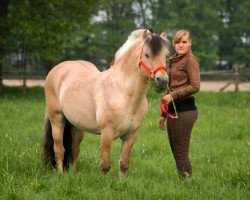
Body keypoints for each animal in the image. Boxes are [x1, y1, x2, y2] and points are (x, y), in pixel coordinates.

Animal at [42, 28, 170, 177]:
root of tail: (58, 69)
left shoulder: (132, 135)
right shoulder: (107, 133)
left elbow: (124, 164)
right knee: (59, 149)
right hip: (57, 119)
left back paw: (72, 174)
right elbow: (105, 165)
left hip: (78, 125)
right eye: (147, 54)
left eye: (166, 55)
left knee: (74, 149)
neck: (122, 92)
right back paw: (61, 174)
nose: (163, 81)